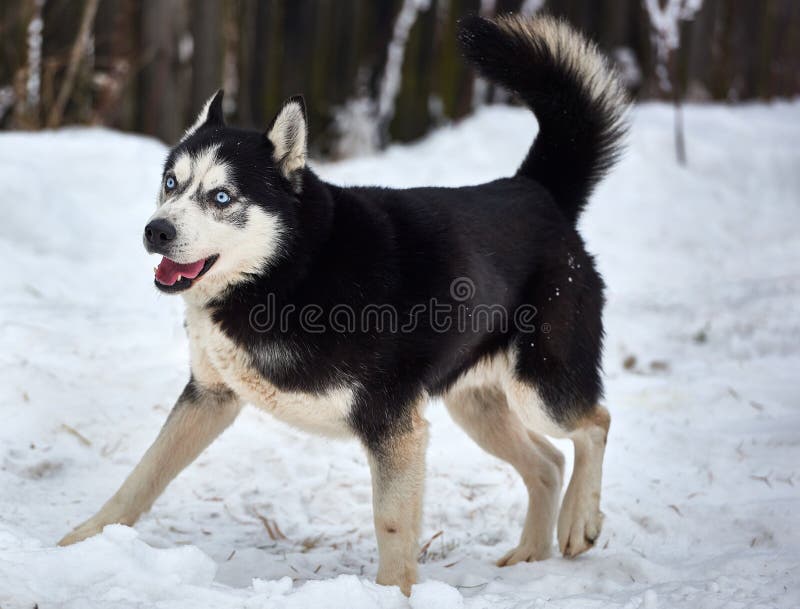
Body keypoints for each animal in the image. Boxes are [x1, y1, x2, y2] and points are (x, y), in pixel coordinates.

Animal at [59, 14, 628, 592]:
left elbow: (393, 522)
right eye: (171, 184)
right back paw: (531, 553)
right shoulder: (209, 396)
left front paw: (392, 594)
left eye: (221, 197)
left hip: (540, 388)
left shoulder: (393, 424)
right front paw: (84, 540)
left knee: (595, 423)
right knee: (548, 463)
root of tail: (534, 191)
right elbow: (143, 474)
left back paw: (579, 521)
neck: (288, 273)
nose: (155, 231)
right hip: (477, 405)